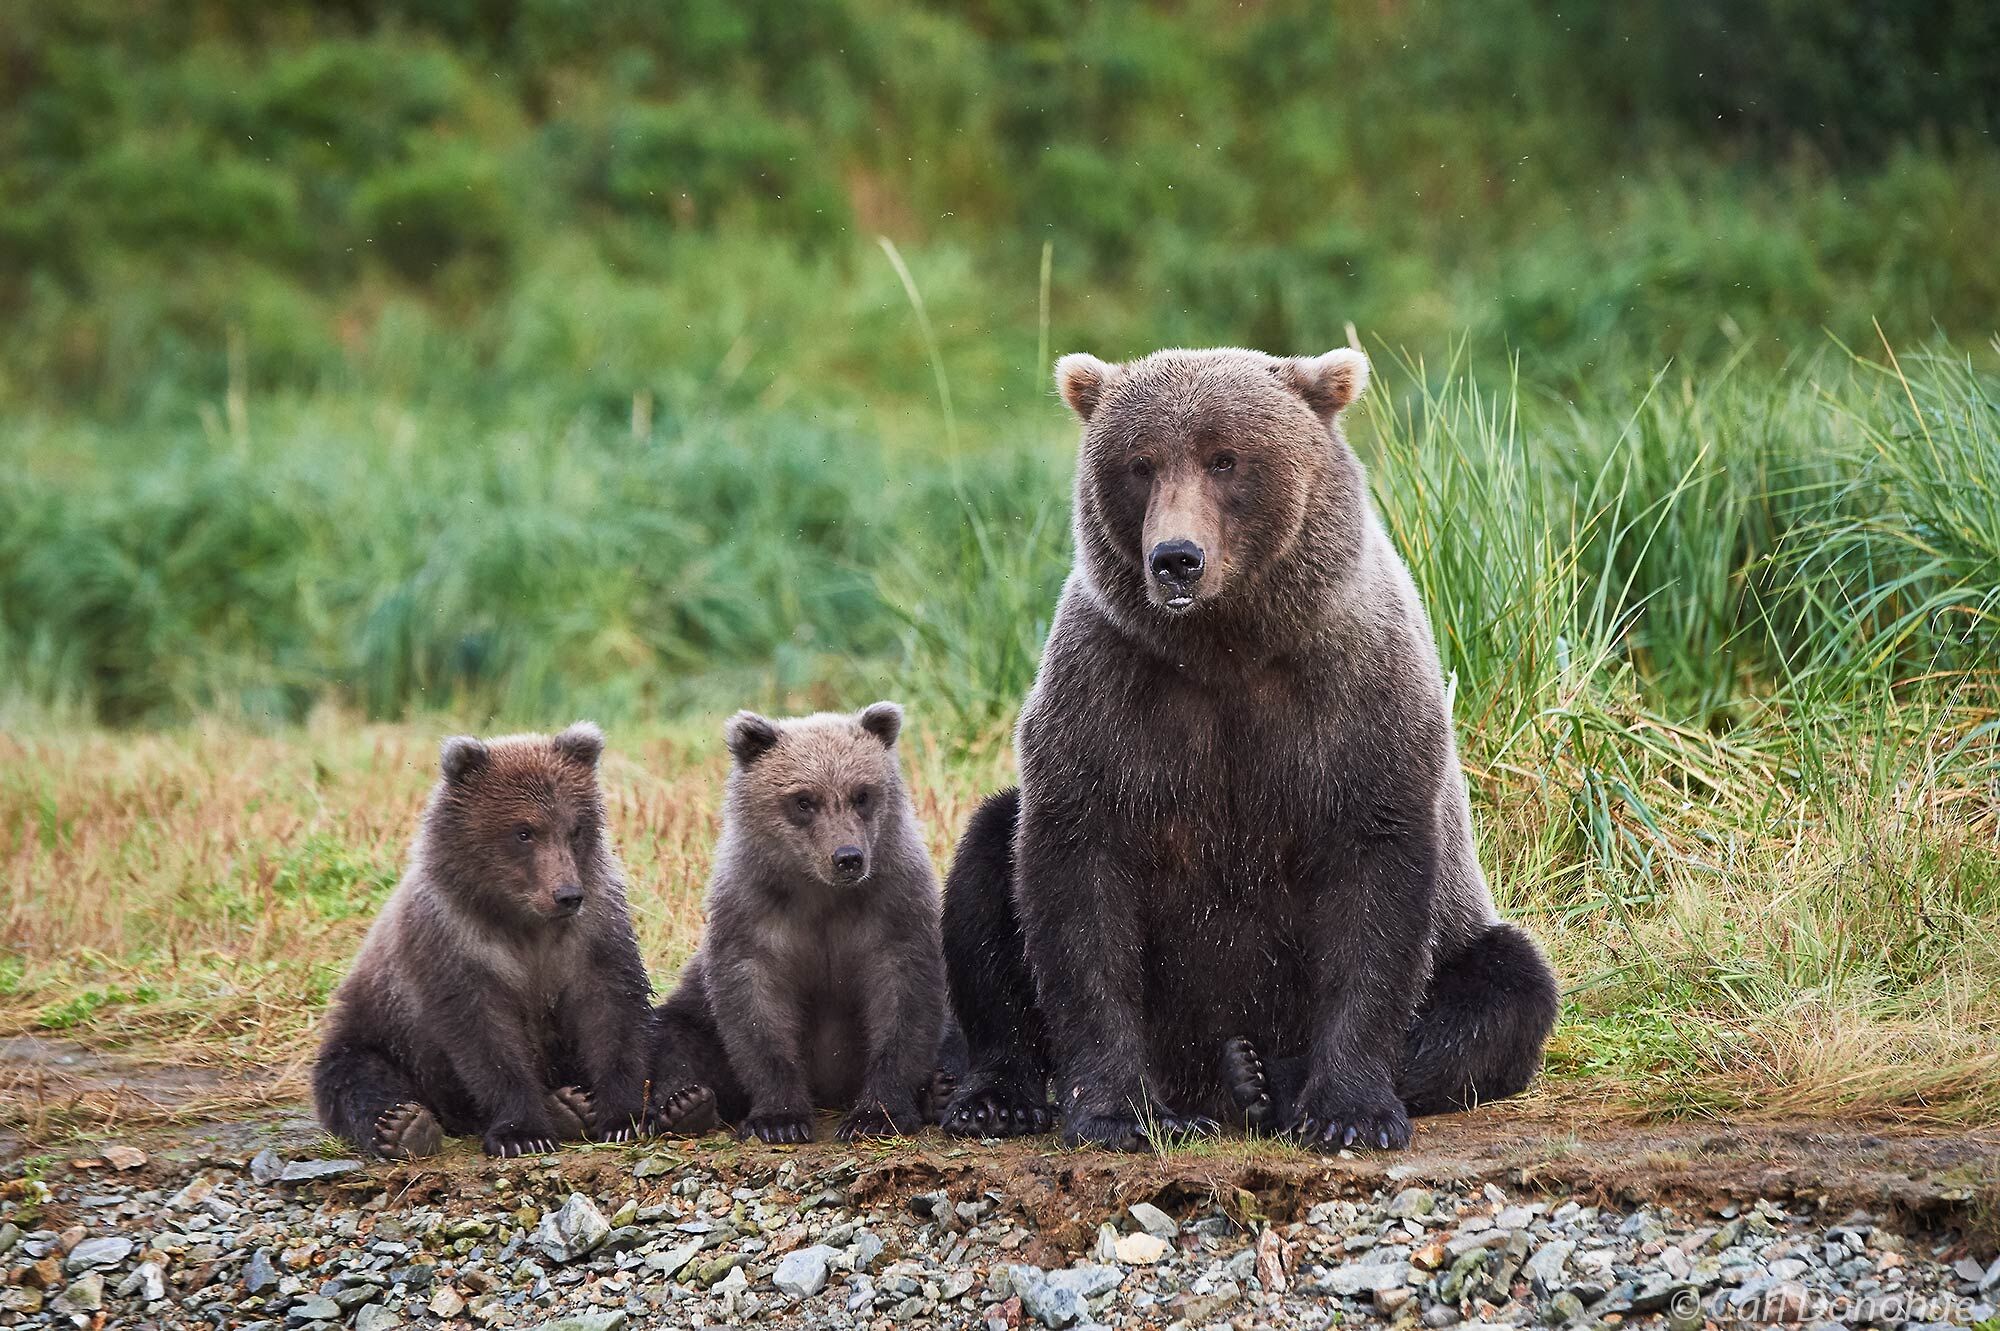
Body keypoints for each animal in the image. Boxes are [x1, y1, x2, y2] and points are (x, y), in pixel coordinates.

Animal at [936, 347, 1560, 1143]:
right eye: (1139, 463)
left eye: (1225, 458)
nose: (1176, 558)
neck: (1226, 646)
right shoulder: (1108, 694)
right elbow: (1079, 890)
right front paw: (1115, 1112)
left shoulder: (1355, 698)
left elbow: (1374, 892)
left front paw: (1350, 1113)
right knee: (988, 867)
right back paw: (1004, 1095)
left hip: (1464, 939)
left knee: (1505, 988)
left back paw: (1259, 1076)